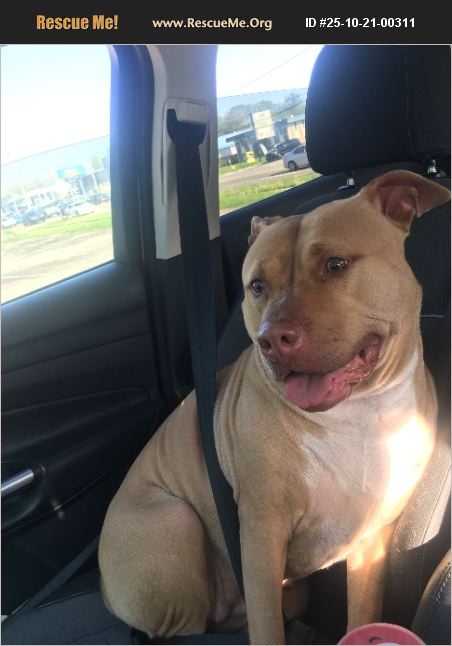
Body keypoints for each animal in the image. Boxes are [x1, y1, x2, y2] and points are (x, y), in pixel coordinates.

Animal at [99, 170, 450, 644]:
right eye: (257, 286)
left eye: (335, 265)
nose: (271, 338)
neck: (358, 414)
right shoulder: (262, 533)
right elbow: (268, 625)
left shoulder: (371, 540)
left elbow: (362, 614)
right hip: (173, 523)